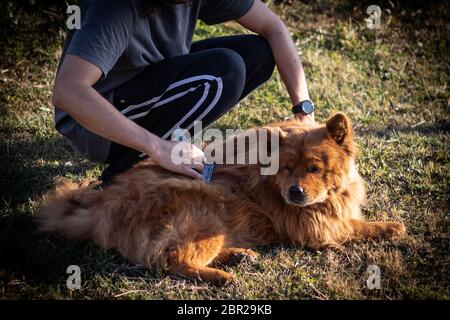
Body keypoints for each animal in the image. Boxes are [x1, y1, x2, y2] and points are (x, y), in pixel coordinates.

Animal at [37, 113, 406, 284]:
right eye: (287, 168)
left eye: (315, 168)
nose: (295, 192)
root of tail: (101, 207)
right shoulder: (312, 227)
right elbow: (350, 229)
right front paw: (384, 228)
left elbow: (355, 220)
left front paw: (388, 226)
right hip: (207, 210)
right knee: (173, 260)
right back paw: (222, 276)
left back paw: (239, 256)